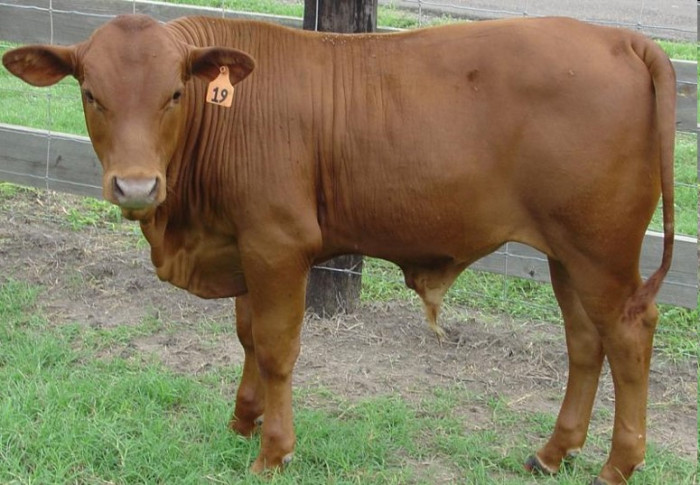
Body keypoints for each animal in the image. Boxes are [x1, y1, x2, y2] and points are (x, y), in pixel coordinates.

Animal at [2, 14, 675, 485]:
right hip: (567, 253)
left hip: (601, 251)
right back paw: (553, 452)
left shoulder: (278, 242)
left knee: (629, 335)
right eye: (90, 93)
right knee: (585, 343)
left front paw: (273, 451)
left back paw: (618, 464)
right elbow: (248, 336)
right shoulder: (242, 243)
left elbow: (276, 348)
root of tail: (619, 39)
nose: (137, 186)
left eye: (174, 93)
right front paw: (242, 421)